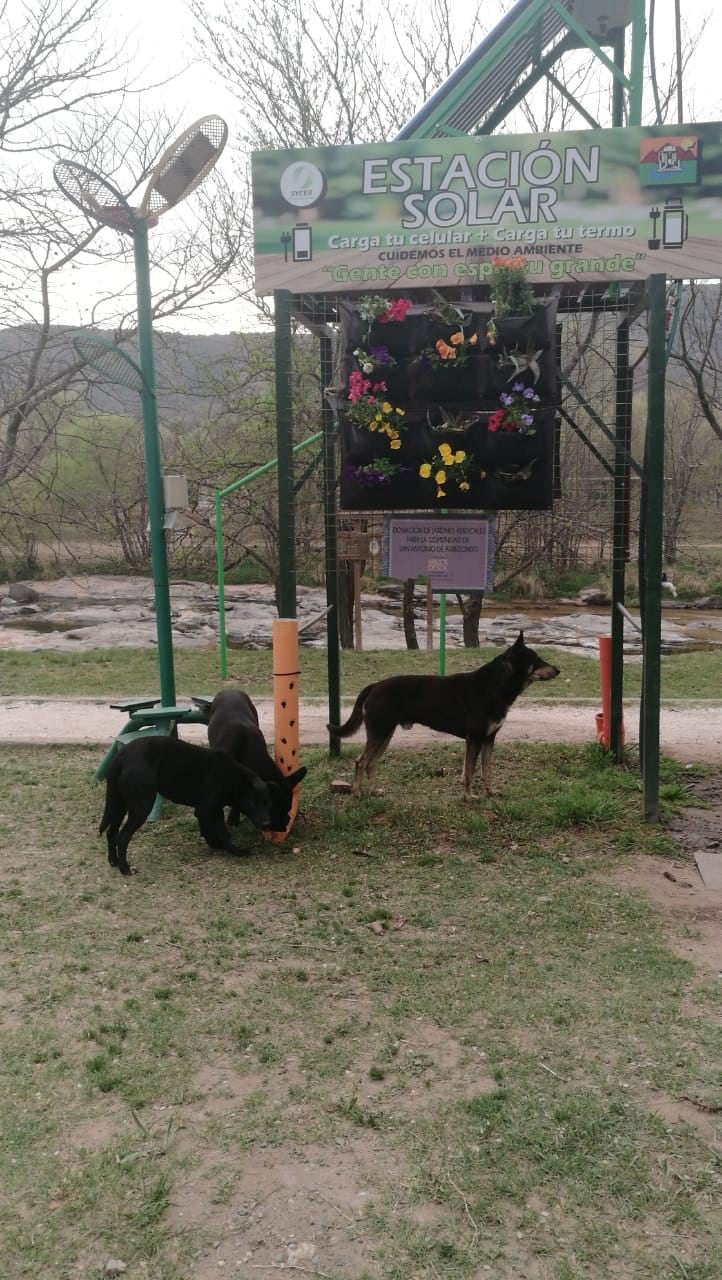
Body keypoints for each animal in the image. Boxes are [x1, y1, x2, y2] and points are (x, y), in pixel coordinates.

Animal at [98, 737, 273, 875]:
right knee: (122, 837)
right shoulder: (204, 809)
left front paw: (220, 846)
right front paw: (231, 850)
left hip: (119, 805)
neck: (233, 777)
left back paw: (113, 862)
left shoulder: (214, 809)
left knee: (111, 833)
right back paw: (125, 869)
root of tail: (121, 755)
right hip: (141, 807)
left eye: (267, 803)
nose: (267, 823)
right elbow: (219, 832)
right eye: (253, 804)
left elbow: (218, 831)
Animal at [330, 632, 560, 798]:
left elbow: (486, 770)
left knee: (372, 763)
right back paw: (357, 793)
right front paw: (469, 797)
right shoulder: (475, 739)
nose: (558, 670)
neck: (494, 685)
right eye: (536, 660)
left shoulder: (488, 739)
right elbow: (470, 771)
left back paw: (373, 791)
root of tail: (374, 686)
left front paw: (490, 792)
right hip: (379, 733)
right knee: (361, 762)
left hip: (385, 735)